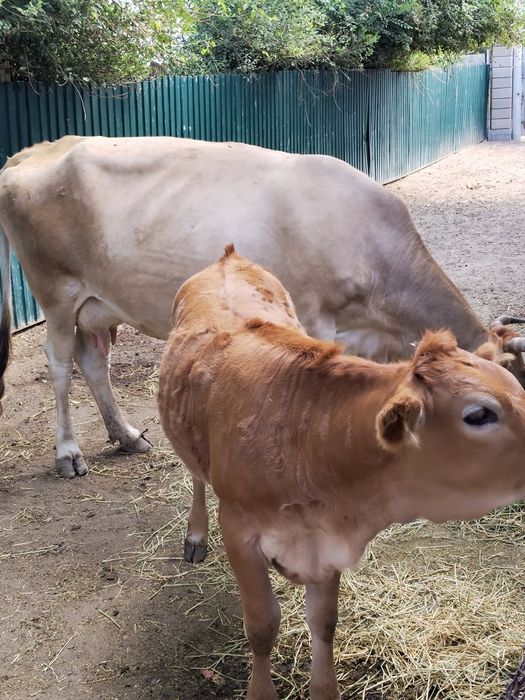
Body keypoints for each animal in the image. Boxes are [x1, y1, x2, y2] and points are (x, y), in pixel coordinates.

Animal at [0, 135, 523, 477]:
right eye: (487, 411)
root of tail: (36, 149)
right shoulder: (315, 317)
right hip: (56, 291)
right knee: (60, 364)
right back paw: (68, 453)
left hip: (97, 303)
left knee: (93, 361)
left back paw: (126, 436)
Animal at [158, 246, 525, 700]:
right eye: (479, 414)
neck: (304, 439)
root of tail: (229, 257)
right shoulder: (238, 530)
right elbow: (262, 626)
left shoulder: (328, 539)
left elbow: (324, 623)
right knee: (194, 474)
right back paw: (195, 534)